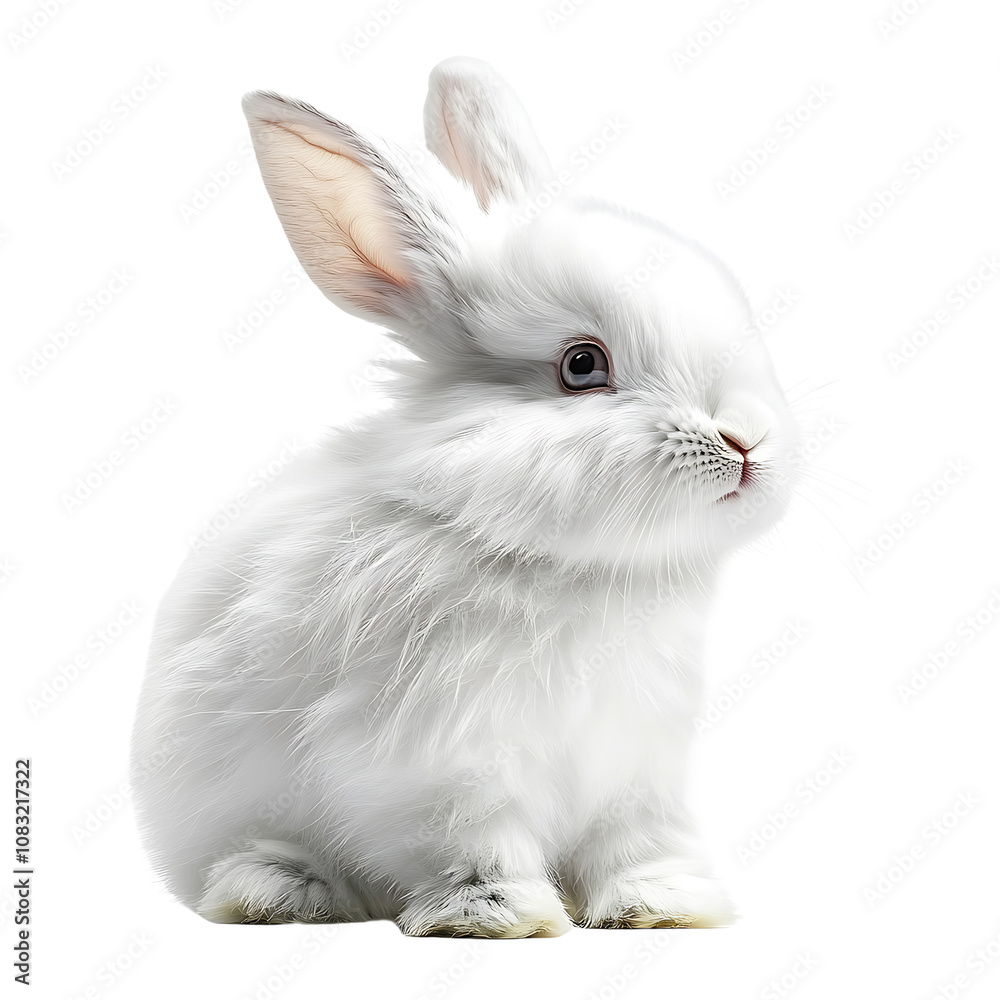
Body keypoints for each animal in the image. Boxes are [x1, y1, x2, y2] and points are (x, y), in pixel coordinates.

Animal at [129, 56, 798, 937]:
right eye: (581, 366)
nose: (748, 442)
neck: (562, 563)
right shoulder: (444, 763)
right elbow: (473, 842)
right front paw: (497, 916)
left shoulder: (636, 768)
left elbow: (635, 841)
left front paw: (664, 907)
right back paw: (282, 891)